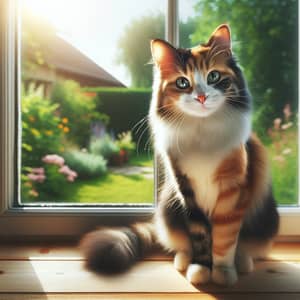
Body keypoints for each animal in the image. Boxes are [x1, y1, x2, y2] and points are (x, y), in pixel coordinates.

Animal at [80, 23, 278, 286]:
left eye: (213, 77)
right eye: (183, 83)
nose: (201, 97)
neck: (202, 131)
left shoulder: (233, 192)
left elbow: (224, 239)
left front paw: (223, 272)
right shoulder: (187, 191)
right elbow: (200, 236)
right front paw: (201, 269)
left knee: (245, 247)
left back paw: (242, 262)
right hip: (168, 208)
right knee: (181, 244)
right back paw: (184, 260)